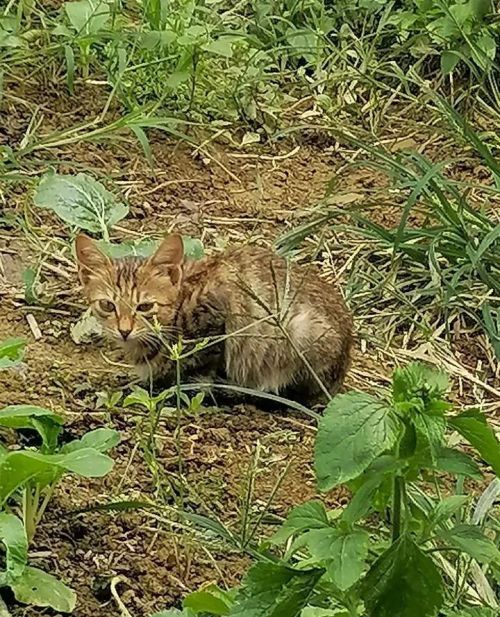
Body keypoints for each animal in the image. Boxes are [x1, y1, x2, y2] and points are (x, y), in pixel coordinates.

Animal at [76, 233, 354, 402]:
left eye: (145, 306)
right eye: (107, 305)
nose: (124, 330)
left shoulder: (218, 311)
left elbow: (202, 363)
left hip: (300, 332)